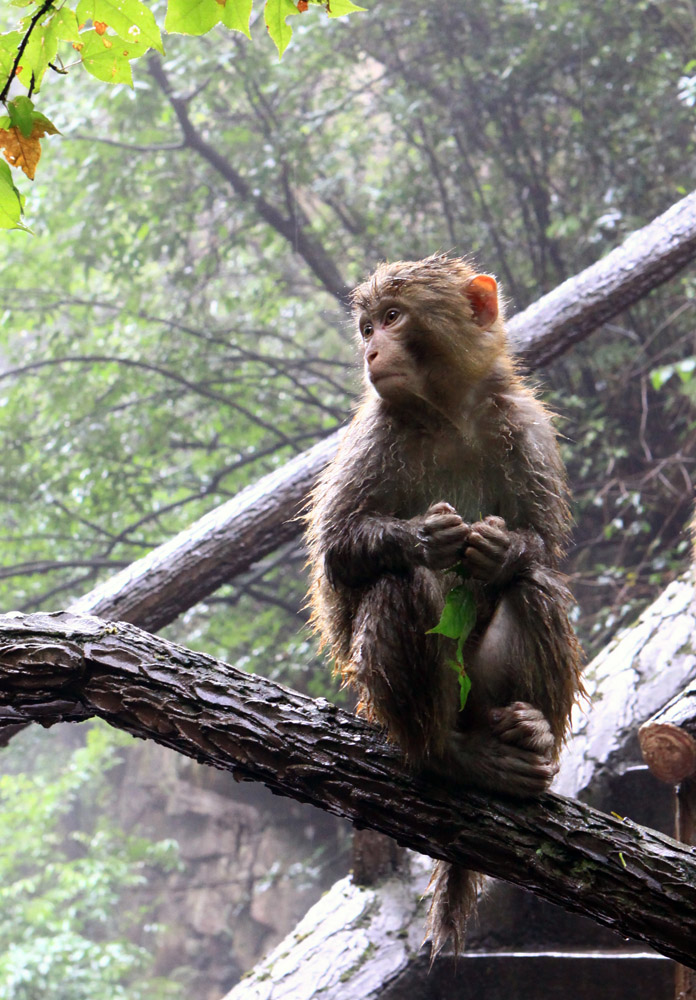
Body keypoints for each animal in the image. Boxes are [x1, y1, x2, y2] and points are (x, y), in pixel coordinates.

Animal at [304, 254, 580, 956]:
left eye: (393, 317)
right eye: (368, 326)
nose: (371, 350)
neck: (449, 413)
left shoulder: (525, 427)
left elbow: (543, 549)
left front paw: (501, 550)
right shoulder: (376, 433)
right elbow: (339, 552)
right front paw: (428, 538)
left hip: (484, 688)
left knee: (536, 589)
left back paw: (532, 733)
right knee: (400, 585)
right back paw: (447, 756)